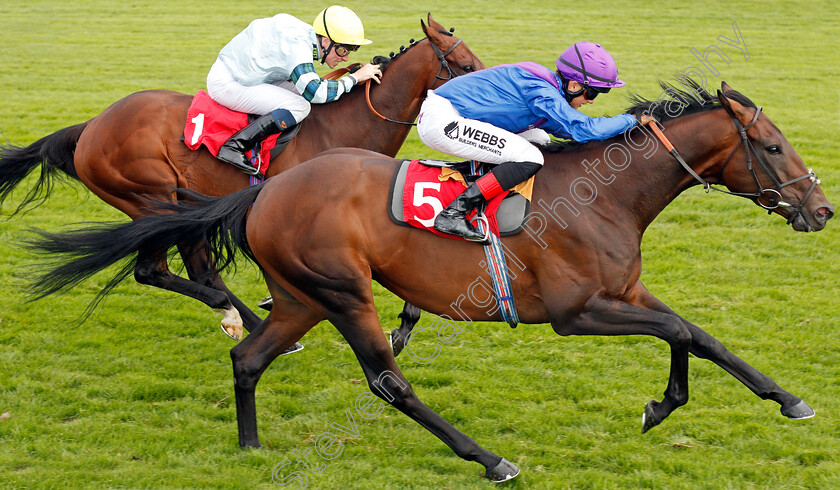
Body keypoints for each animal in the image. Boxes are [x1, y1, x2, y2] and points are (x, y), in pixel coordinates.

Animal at [0, 14, 480, 336]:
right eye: (465, 65)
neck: (342, 124)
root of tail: (91, 126)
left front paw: (405, 322)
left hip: (180, 203)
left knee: (199, 268)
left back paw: (245, 319)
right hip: (151, 199)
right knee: (154, 271)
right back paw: (236, 314)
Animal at [24, 82, 832, 480]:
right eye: (769, 146)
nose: (821, 208)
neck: (606, 193)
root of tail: (267, 190)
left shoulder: (624, 293)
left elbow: (700, 334)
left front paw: (786, 400)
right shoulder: (579, 311)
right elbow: (676, 333)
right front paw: (662, 407)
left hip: (300, 297)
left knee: (248, 357)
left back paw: (250, 447)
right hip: (342, 289)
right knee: (388, 381)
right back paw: (488, 458)